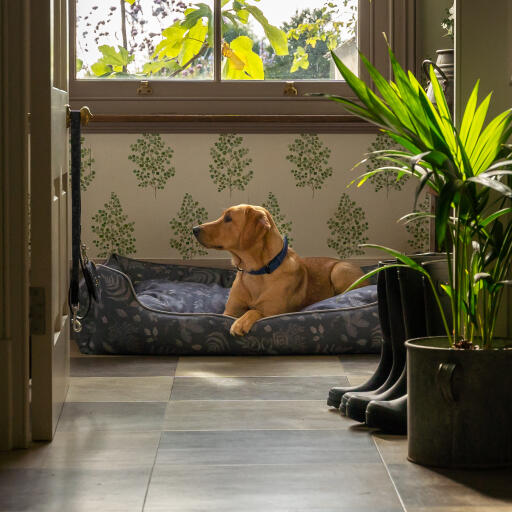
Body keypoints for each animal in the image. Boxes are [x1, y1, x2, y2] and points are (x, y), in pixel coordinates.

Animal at [192, 204, 364, 336]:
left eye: (228, 218)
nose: (194, 229)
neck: (257, 272)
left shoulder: (273, 312)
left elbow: (255, 311)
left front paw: (241, 322)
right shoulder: (229, 311)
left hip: (339, 271)